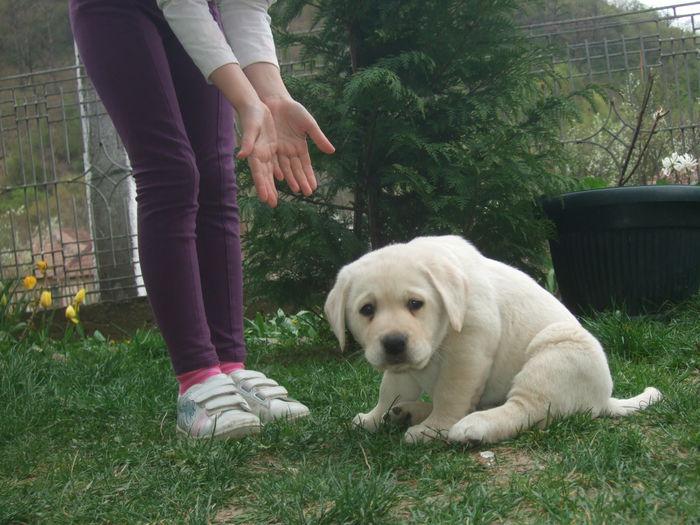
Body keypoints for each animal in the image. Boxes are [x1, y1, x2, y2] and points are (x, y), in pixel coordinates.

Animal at [324, 235, 660, 444]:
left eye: (415, 303)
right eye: (367, 310)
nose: (394, 343)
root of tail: (604, 400)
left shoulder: (468, 349)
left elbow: (450, 393)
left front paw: (435, 428)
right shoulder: (404, 367)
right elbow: (390, 390)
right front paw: (374, 417)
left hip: (555, 351)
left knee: (525, 410)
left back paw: (473, 426)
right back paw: (406, 412)